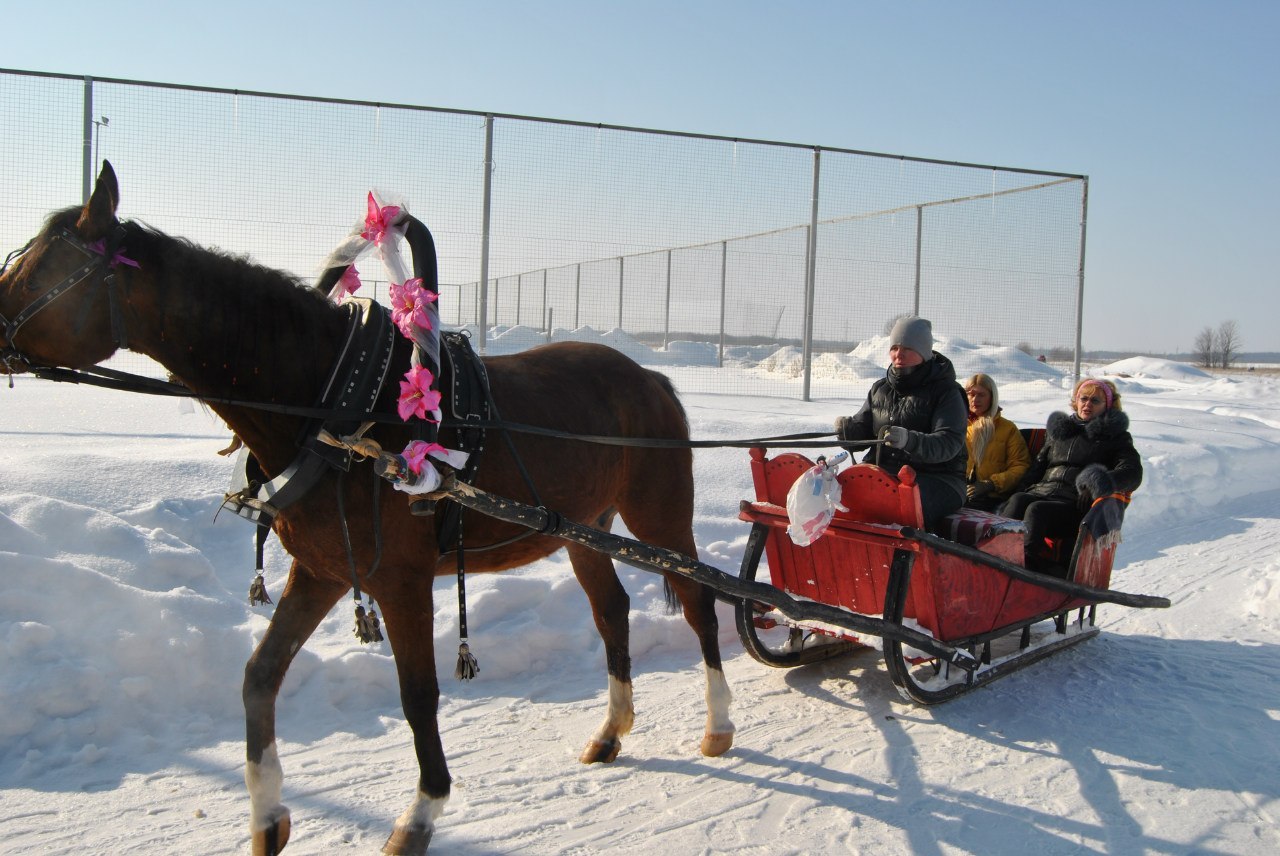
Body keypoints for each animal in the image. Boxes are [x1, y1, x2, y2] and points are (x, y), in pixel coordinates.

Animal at [0, 163, 737, 849]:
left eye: (32, 275)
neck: (331, 406)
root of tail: (650, 378)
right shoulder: (322, 571)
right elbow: (259, 677)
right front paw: (267, 818)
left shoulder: (402, 581)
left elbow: (418, 696)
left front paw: (421, 814)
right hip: (583, 530)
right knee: (612, 611)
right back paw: (612, 730)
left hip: (658, 518)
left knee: (699, 600)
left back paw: (719, 722)